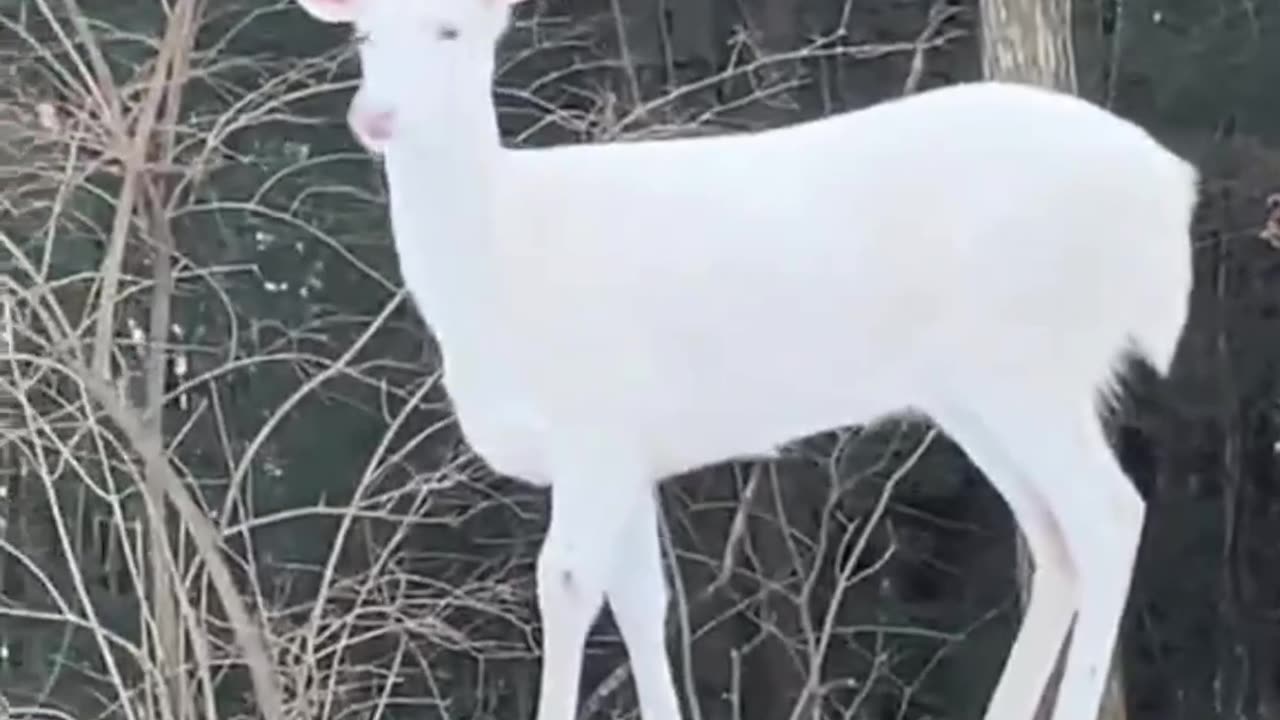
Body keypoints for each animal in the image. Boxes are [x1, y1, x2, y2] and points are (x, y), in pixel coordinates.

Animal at [293, 1, 1198, 719]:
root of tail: (1170, 190)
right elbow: (642, 601)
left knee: (1108, 514)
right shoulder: (629, 451)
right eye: (363, 35)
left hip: (1028, 353)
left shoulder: (596, 423)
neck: (501, 271)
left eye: (449, 30)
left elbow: (565, 585)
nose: (375, 116)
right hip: (979, 390)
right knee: (1055, 539)